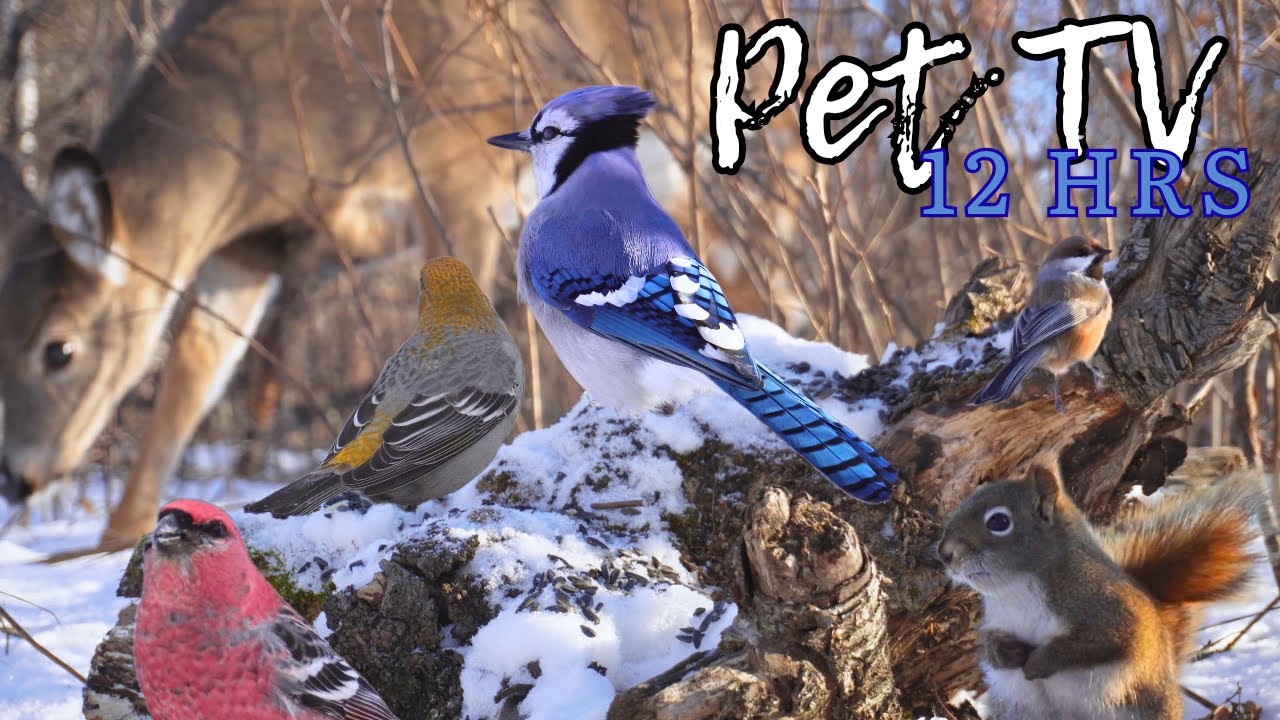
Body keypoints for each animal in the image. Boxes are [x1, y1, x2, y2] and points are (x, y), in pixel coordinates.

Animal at [936, 463, 1259, 720]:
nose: (944, 553)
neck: (1016, 590)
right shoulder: (996, 620)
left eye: (999, 521)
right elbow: (989, 647)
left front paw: (1040, 661)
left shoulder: (1111, 612)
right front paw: (1005, 653)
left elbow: (1095, 643)